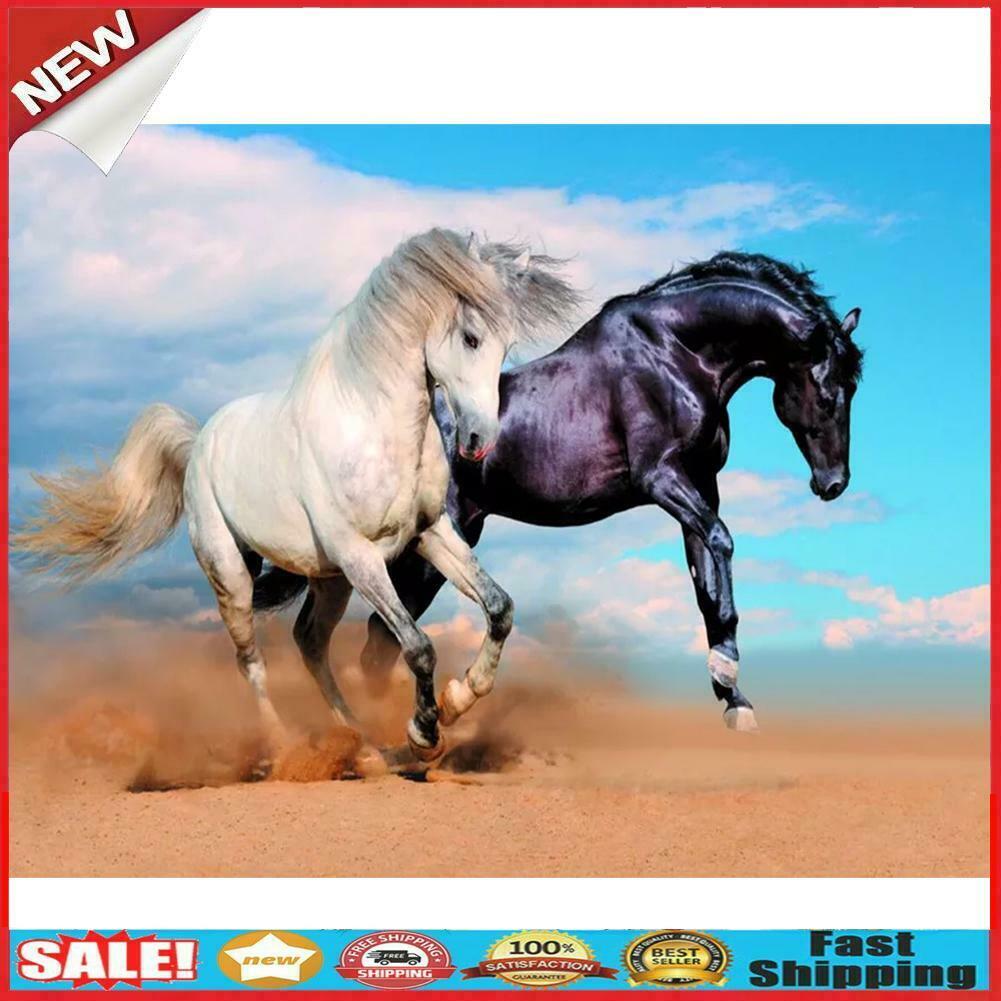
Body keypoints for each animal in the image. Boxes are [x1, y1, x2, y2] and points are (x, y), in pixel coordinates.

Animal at [13, 228, 581, 771]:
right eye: (470, 337)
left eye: (506, 344)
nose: (479, 441)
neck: (376, 427)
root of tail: (198, 444)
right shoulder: (360, 555)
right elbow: (418, 646)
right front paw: (424, 734)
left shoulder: (428, 533)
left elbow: (499, 608)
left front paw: (462, 697)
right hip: (234, 574)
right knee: (252, 660)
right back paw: (286, 746)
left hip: (329, 580)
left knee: (309, 642)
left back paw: (362, 746)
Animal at [256, 251, 862, 732]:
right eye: (829, 391)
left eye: (852, 388)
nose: (832, 484)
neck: (676, 353)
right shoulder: (663, 479)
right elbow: (723, 543)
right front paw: (727, 674)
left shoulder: (700, 487)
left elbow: (708, 586)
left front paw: (734, 698)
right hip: (422, 554)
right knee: (378, 642)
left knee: (379, 643)